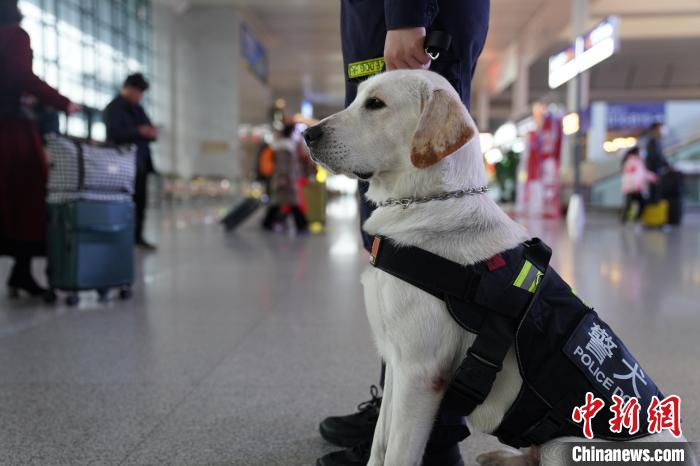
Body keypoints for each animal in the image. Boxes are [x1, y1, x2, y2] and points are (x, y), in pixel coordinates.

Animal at [304, 70, 690, 466]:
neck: (425, 202)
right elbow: (380, 445)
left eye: (376, 104)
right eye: (357, 98)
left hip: (563, 447)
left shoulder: (420, 375)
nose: (308, 134)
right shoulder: (396, 364)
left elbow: (397, 454)